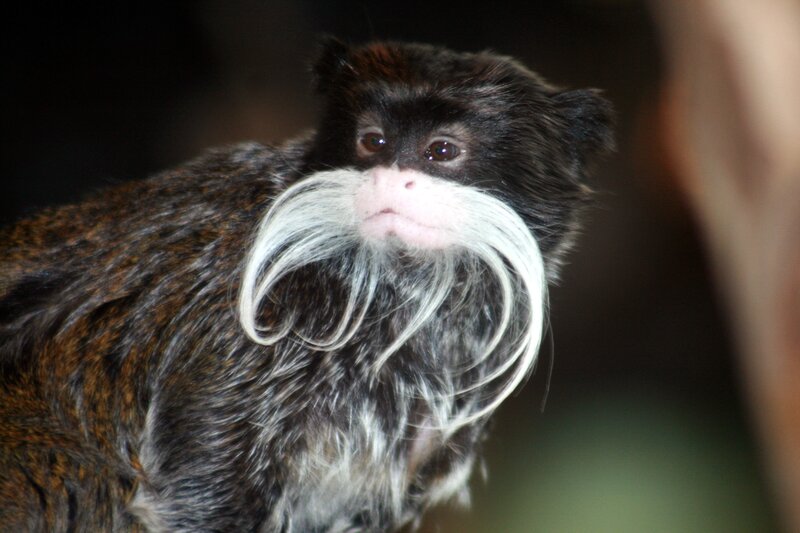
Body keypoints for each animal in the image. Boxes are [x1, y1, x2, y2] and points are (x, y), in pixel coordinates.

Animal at [0, 38, 613, 532]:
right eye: (373, 141)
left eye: (441, 150)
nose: (389, 177)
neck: (391, 300)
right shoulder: (229, 338)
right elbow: (201, 488)